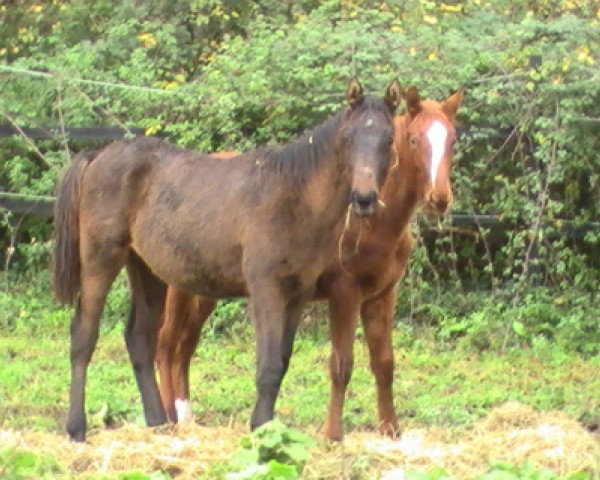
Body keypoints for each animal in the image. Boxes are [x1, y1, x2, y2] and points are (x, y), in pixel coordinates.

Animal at [54, 79, 404, 442]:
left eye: (389, 139)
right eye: (348, 138)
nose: (364, 199)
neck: (293, 196)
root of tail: (97, 155)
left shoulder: (298, 294)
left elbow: (282, 360)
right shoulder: (266, 289)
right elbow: (269, 365)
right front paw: (261, 429)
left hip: (146, 269)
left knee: (139, 338)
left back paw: (158, 423)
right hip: (101, 259)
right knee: (84, 335)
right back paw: (77, 428)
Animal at [152, 86, 462, 438]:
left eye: (452, 140)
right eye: (412, 140)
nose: (439, 199)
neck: (371, 223)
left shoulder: (382, 295)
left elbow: (384, 362)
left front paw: (390, 429)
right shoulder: (345, 294)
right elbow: (341, 365)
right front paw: (332, 435)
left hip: (205, 289)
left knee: (185, 345)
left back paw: (186, 416)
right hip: (180, 287)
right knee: (167, 344)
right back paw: (170, 419)